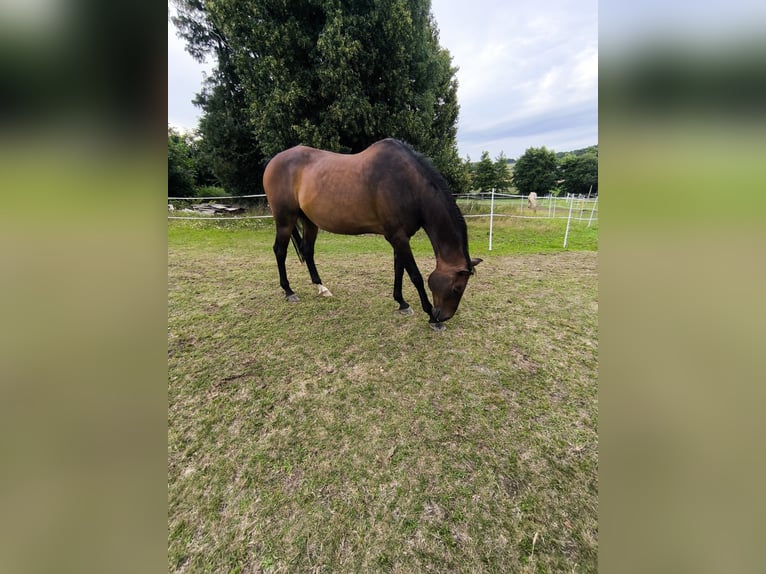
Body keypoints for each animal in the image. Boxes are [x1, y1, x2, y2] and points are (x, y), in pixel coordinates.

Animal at [263, 138, 482, 331]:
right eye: (457, 288)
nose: (443, 315)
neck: (407, 184)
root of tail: (273, 162)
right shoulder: (398, 237)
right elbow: (415, 275)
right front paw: (430, 317)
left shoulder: (399, 237)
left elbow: (398, 269)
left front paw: (402, 303)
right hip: (285, 221)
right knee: (279, 251)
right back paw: (289, 291)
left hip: (309, 222)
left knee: (307, 251)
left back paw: (321, 288)